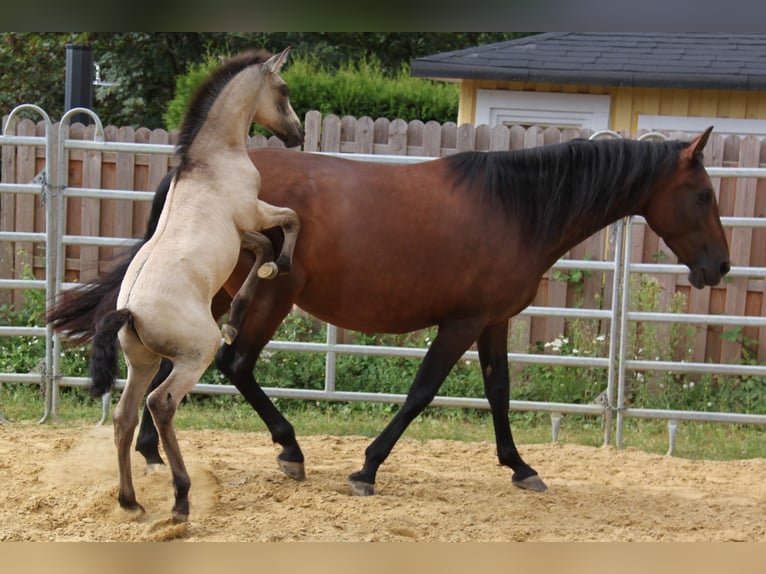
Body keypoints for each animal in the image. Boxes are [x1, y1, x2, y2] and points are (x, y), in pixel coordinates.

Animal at [48, 127, 732, 500]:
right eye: (701, 194)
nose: (720, 267)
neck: (516, 208)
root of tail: (190, 177)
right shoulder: (460, 323)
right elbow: (422, 391)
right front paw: (367, 467)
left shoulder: (492, 322)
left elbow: (500, 392)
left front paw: (520, 467)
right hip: (269, 296)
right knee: (235, 364)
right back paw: (288, 449)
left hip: (216, 293)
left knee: (175, 364)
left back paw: (151, 449)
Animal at [88, 49, 306, 524]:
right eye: (283, 90)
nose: (298, 135)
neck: (211, 162)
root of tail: (129, 311)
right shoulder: (253, 213)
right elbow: (290, 222)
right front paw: (279, 267)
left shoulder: (244, 231)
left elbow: (262, 248)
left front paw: (239, 314)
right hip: (192, 357)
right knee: (161, 404)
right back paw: (181, 497)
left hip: (142, 362)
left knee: (124, 416)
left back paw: (131, 501)